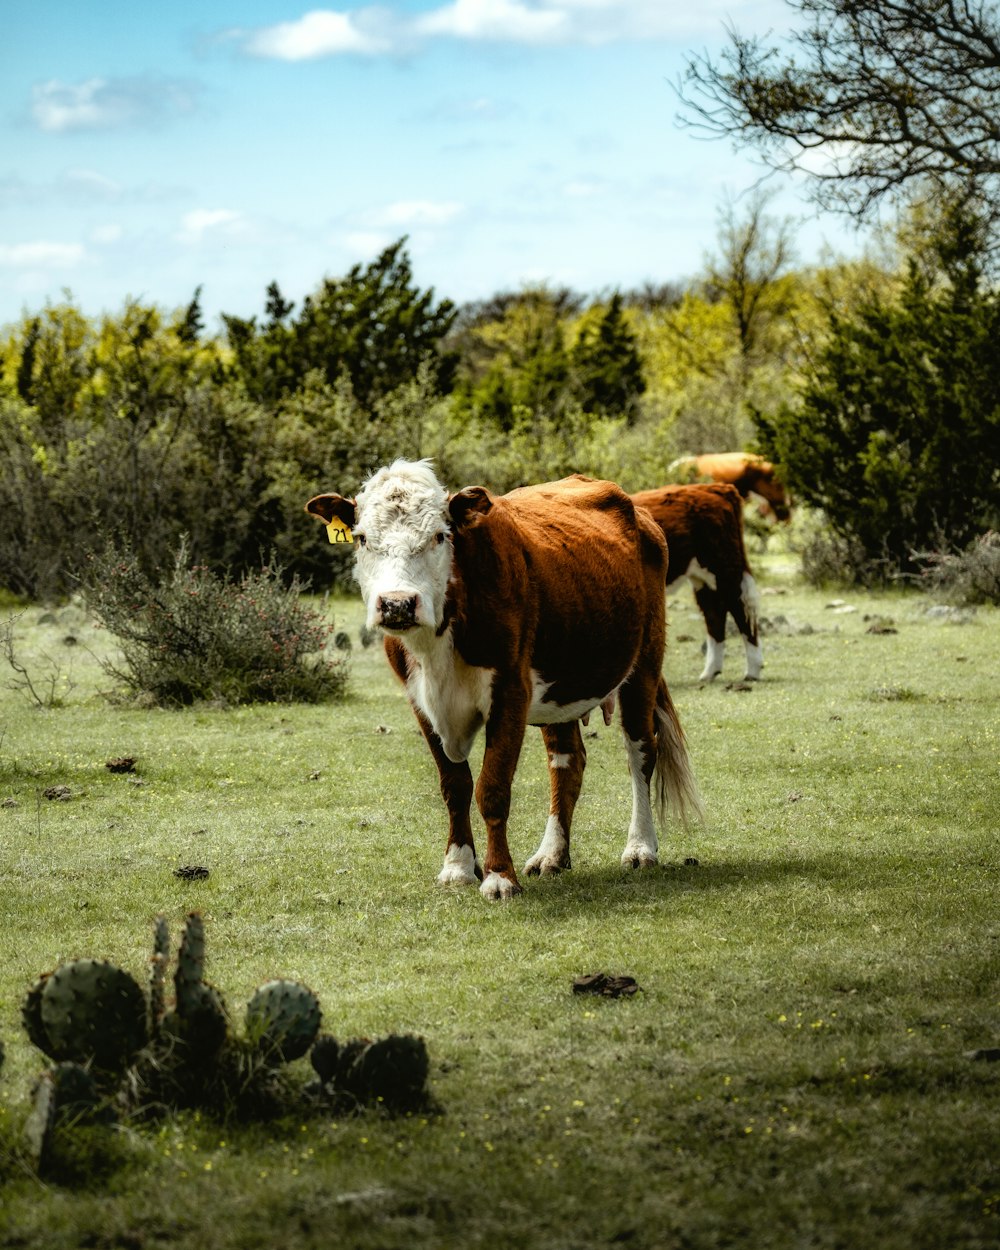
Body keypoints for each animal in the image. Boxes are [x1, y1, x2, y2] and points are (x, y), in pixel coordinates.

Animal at [305, 460, 705, 900]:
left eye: (440, 535)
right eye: (361, 539)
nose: (397, 604)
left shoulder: (511, 691)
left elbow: (492, 788)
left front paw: (498, 877)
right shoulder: (420, 702)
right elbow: (455, 786)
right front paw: (458, 866)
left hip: (643, 666)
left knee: (641, 752)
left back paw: (640, 847)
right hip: (563, 682)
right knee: (567, 762)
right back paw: (551, 855)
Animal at [632, 480, 765, 685]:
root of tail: (714, 487)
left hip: (724, 569)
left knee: (739, 609)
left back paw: (752, 671)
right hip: (703, 578)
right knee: (714, 613)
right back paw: (710, 672)